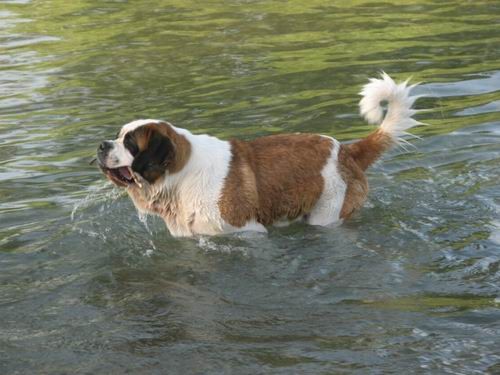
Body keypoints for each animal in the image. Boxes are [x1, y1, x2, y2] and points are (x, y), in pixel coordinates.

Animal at [94, 74, 422, 238]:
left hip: (327, 213)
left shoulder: (248, 231)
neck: (181, 176)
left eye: (129, 143)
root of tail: (347, 149)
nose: (101, 145)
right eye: (118, 135)